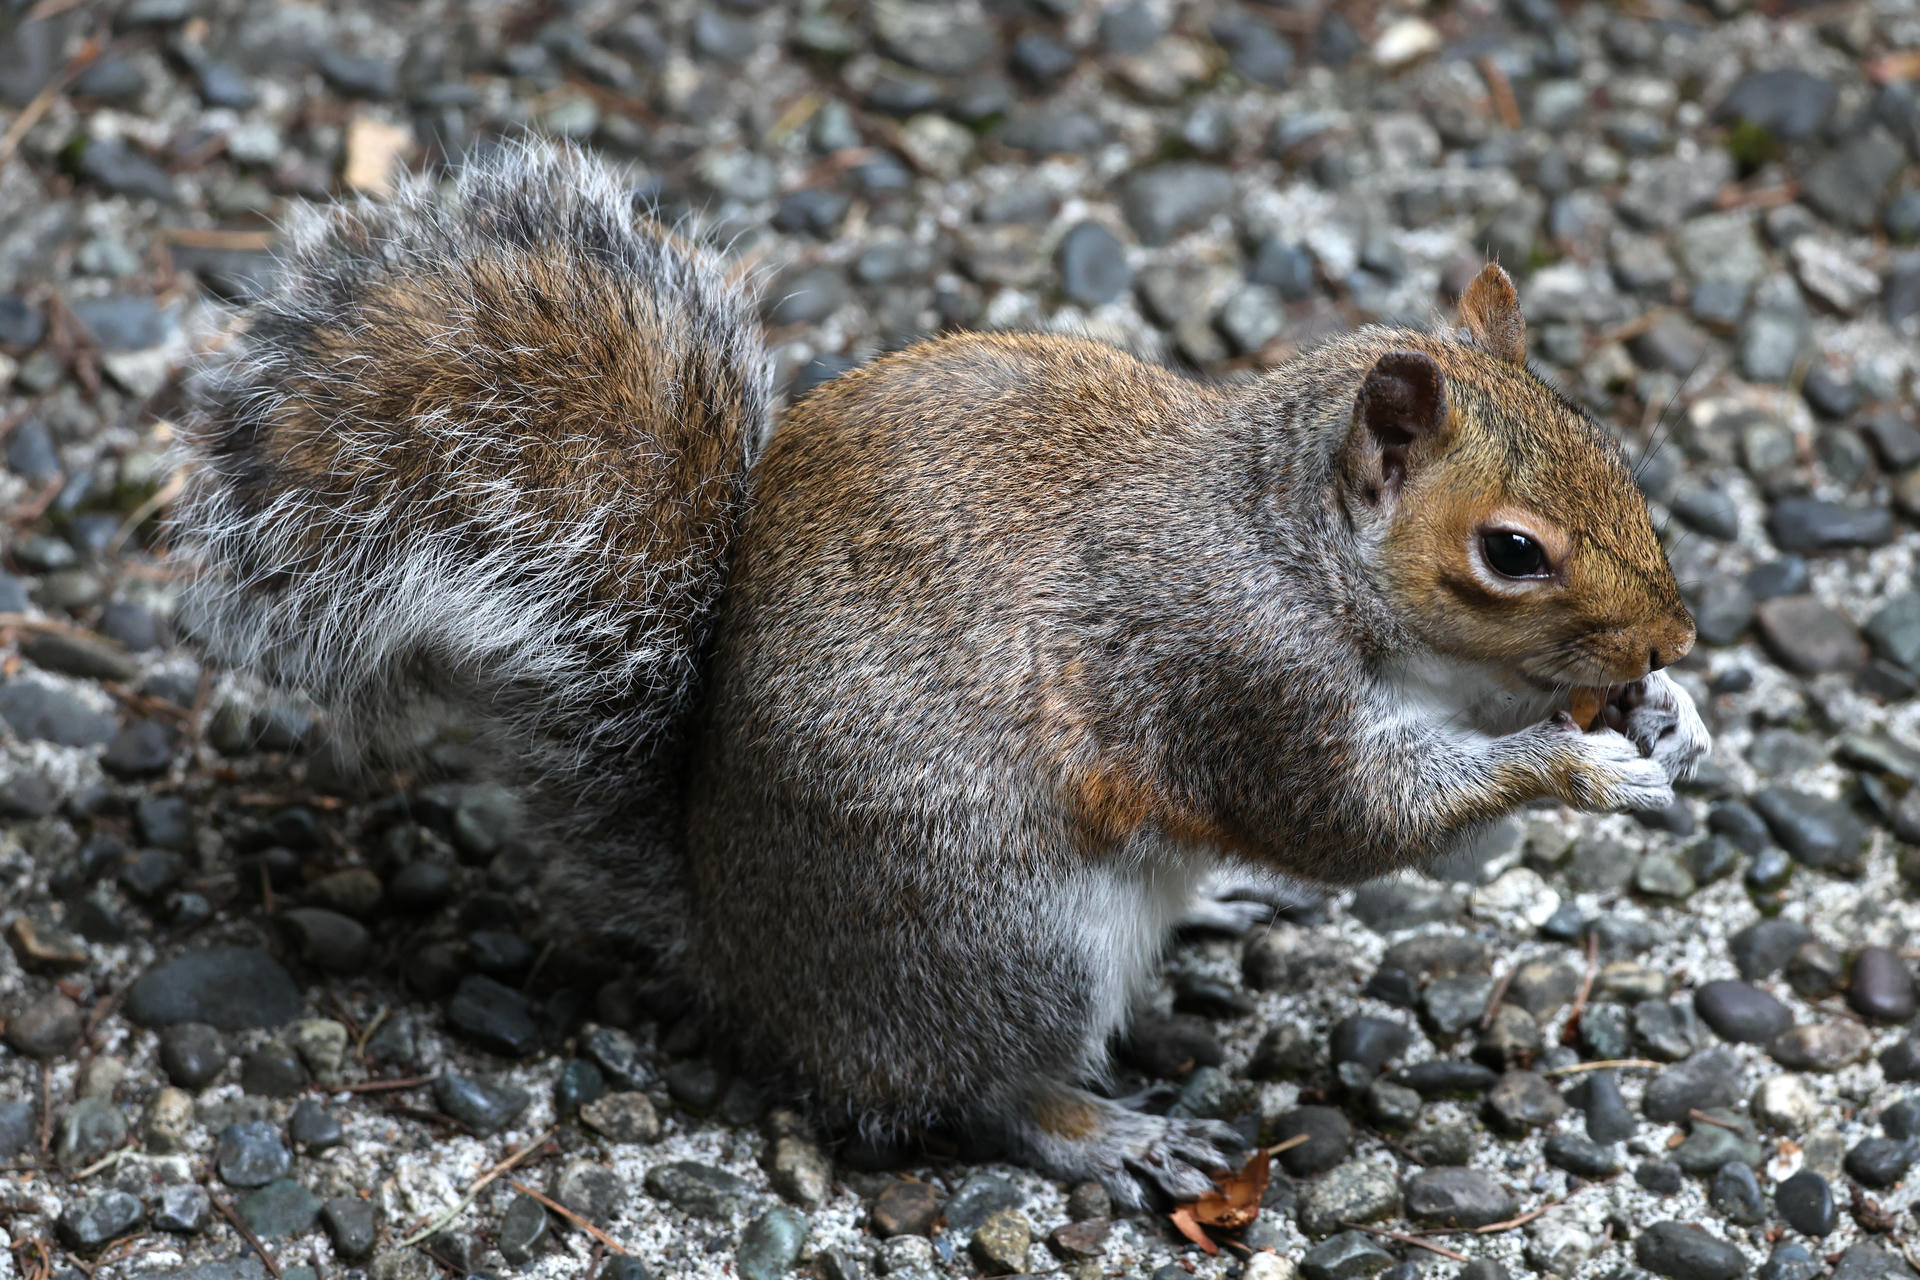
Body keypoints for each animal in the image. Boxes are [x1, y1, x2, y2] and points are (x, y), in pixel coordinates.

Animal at [173, 142, 1710, 1207]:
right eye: (1510, 551)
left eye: (1611, 447)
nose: (1672, 638)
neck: (1293, 540)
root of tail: (743, 953)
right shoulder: (1236, 670)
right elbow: (1347, 820)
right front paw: (1579, 765)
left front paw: (1668, 722)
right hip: (999, 934)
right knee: (984, 1087)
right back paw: (1109, 1134)